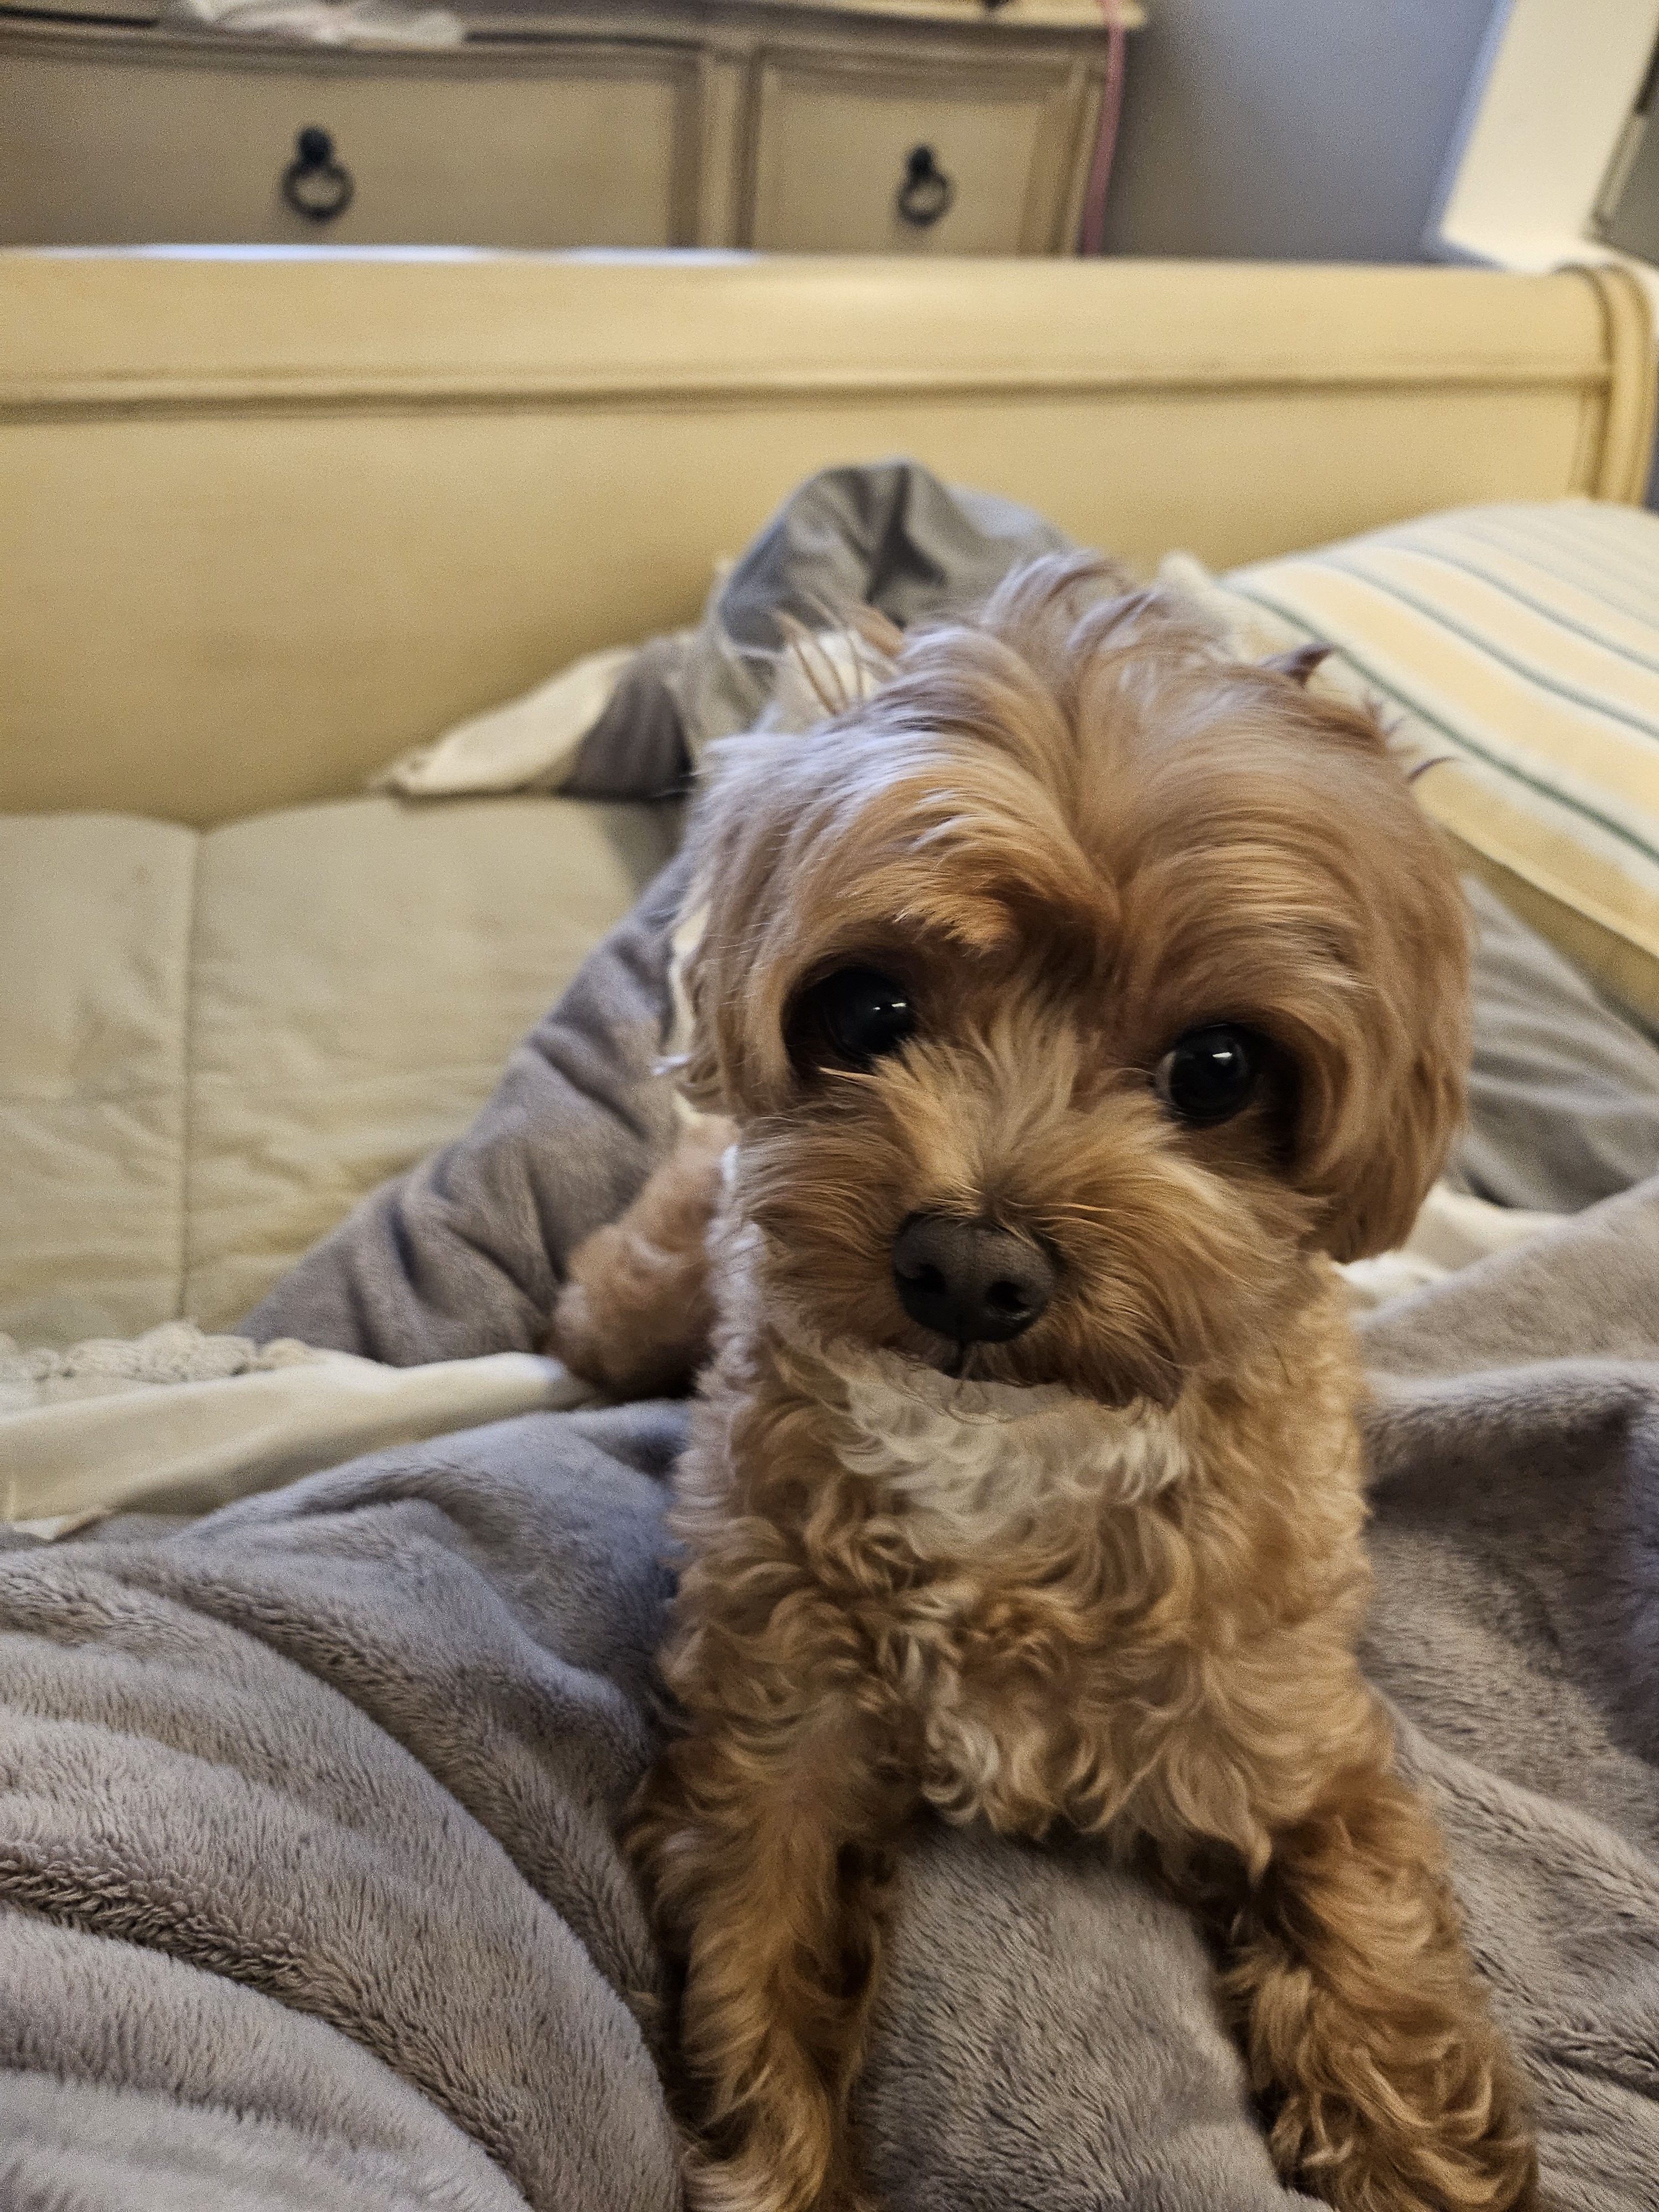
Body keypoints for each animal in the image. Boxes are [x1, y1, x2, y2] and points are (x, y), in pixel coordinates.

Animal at [549, 553, 1538, 2212]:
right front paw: (779, 2165)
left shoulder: (1299, 1750)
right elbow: (761, 2011)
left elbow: (1374, 1958)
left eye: (1217, 1068)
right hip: (643, 1297)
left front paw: (1415, 2153)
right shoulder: (772, 1759)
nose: (966, 1267)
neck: (1010, 1459)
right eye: (867, 1011)